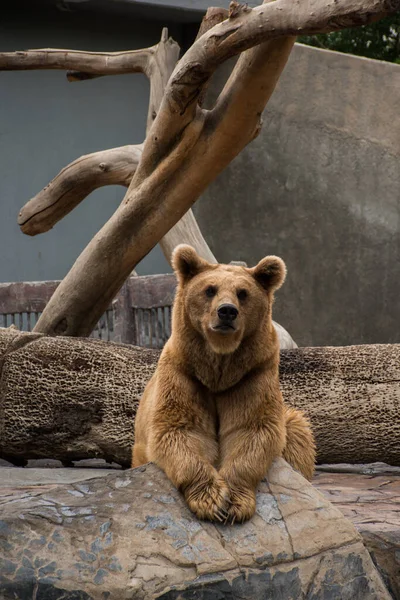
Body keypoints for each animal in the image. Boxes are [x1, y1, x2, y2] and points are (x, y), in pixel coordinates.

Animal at [133, 246, 314, 524]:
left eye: (243, 293)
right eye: (210, 289)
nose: (227, 311)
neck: (219, 369)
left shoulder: (251, 376)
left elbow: (252, 430)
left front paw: (235, 502)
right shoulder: (184, 375)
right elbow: (180, 431)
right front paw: (212, 500)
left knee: (296, 434)